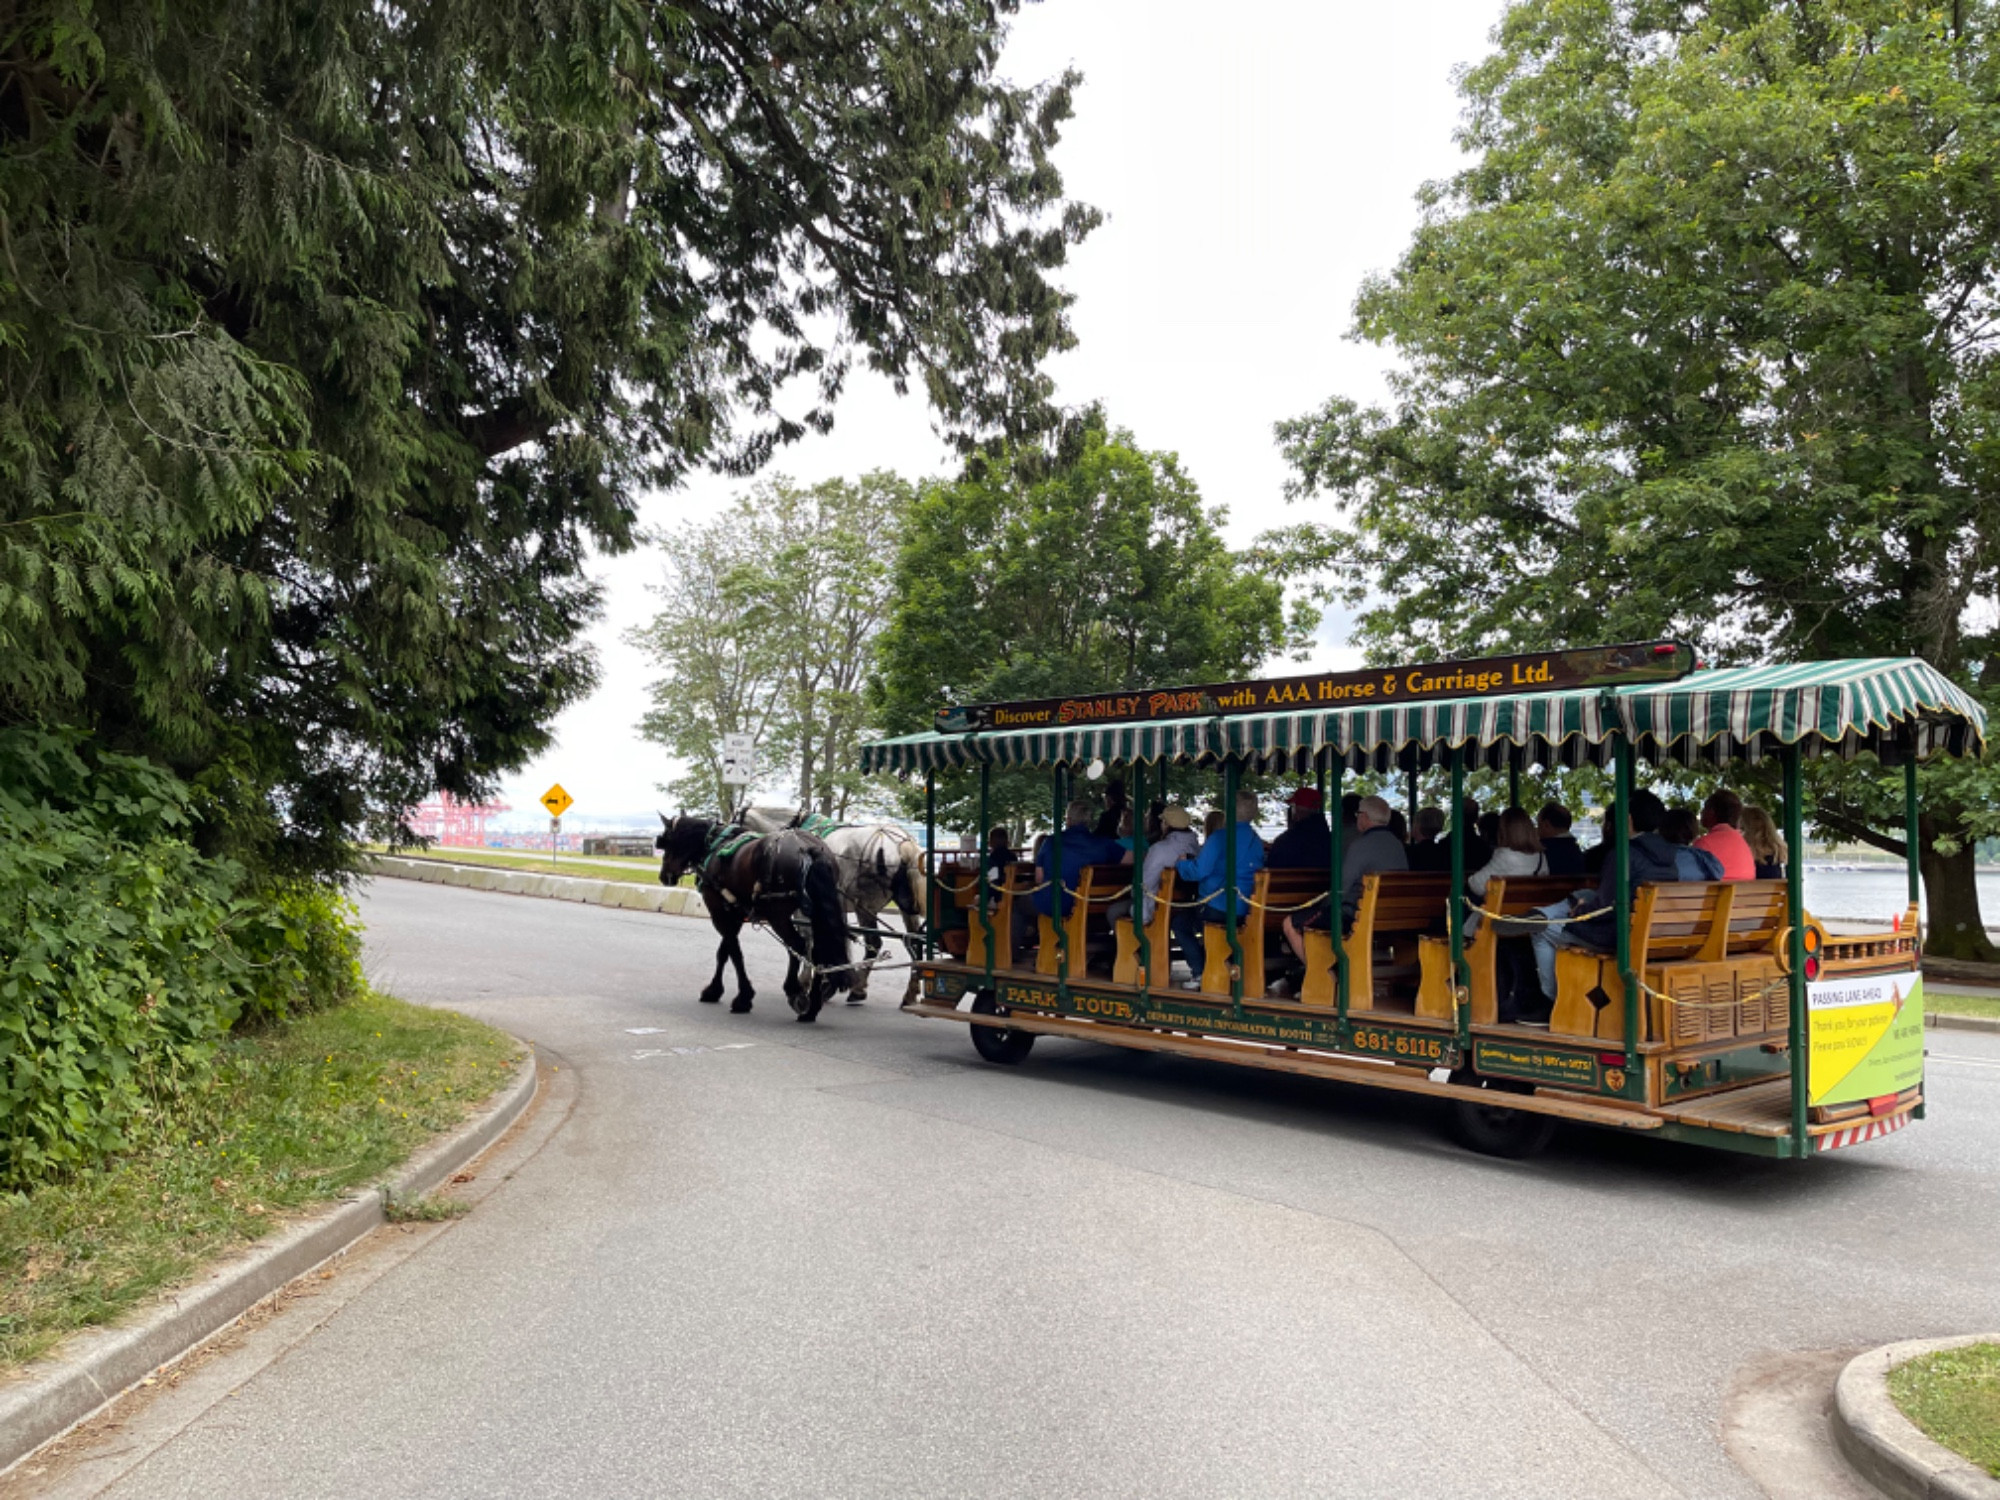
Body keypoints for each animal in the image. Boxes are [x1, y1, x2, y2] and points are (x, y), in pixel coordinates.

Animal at [652, 824, 848, 1024]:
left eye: (667, 843)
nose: (664, 876)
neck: (714, 844)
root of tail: (808, 848)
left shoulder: (719, 914)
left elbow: (734, 954)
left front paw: (743, 997)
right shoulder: (734, 914)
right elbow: (724, 952)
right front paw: (715, 990)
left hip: (777, 915)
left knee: (797, 945)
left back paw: (794, 991)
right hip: (815, 913)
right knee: (819, 951)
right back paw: (812, 1008)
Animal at [736, 804, 928, 1004]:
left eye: (735, 820)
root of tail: (903, 842)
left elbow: (810, 937)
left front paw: (811, 981)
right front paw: (830, 980)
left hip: (865, 905)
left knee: (875, 943)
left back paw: (858, 988)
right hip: (903, 906)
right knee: (913, 942)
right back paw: (909, 992)